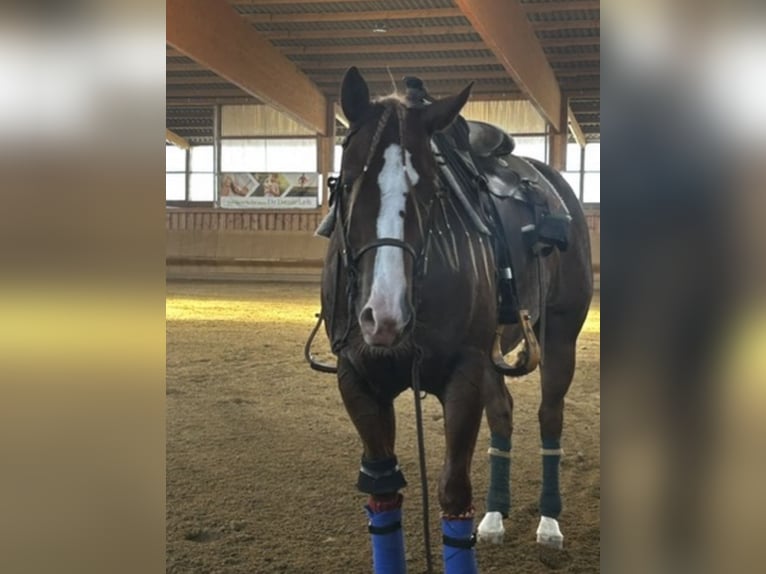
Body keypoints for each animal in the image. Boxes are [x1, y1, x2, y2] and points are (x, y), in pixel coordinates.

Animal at [309, 67, 593, 573]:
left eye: (431, 190)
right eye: (346, 184)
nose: (384, 316)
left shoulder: (464, 374)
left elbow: (454, 493)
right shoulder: (357, 378)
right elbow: (383, 492)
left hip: (559, 336)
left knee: (549, 416)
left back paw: (549, 523)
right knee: (504, 413)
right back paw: (496, 516)